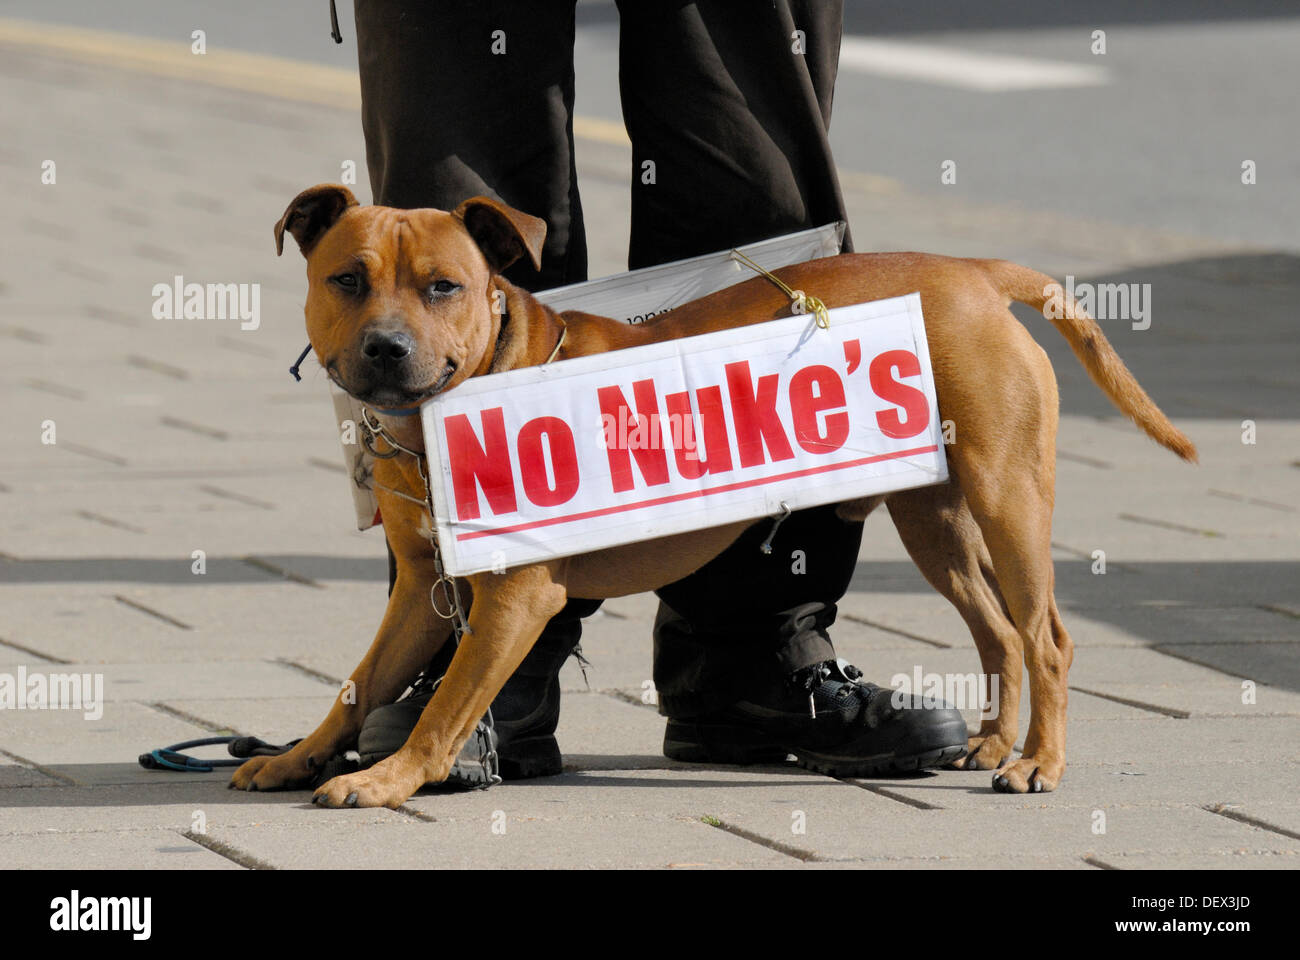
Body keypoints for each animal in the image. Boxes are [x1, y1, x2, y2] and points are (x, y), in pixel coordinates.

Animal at [233, 183, 1196, 806]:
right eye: (347, 279)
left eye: (444, 286)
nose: (387, 348)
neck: (449, 412)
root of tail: (972, 274)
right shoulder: (420, 593)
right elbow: (359, 685)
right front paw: (303, 757)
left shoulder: (513, 599)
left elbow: (442, 706)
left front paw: (390, 777)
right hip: (937, 523)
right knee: (998, 631)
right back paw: (994, 743)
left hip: (1007, 501)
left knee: (1046, 638)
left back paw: (1038, 763)